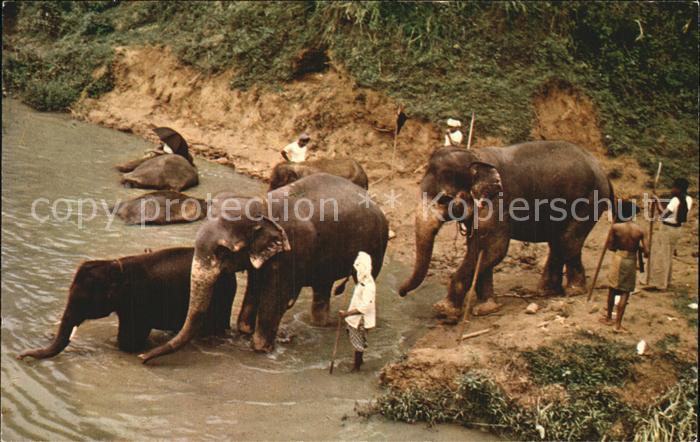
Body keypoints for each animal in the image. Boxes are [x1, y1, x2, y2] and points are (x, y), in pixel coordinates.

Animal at [17, 247, 235, 360]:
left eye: (83, 301)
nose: (20, 356)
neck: (115, 264)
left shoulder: (138, 299)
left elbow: (129, 341)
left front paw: (123, 345)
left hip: (219, 298)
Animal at [139, 173, 389, 363]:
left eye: (223, 252)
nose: (142, 357)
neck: (259, 205)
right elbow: (254, 286)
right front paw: (244, 331)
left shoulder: (291, 251)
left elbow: (275, 296)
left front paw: (260, 347)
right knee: (322, 286)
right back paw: (320, 325)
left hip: (377, 246)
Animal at [399, 141, 612, 321]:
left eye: (444, 199)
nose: (401, 292)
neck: (474, 155)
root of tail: (602, 170)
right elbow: (481, 249)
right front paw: (486, 309)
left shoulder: (498, 204)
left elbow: (492, 249)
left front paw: (444, 311)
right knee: (558, 242)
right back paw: (545, 292)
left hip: (588, 201)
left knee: (567, 242)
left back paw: (573, 291)